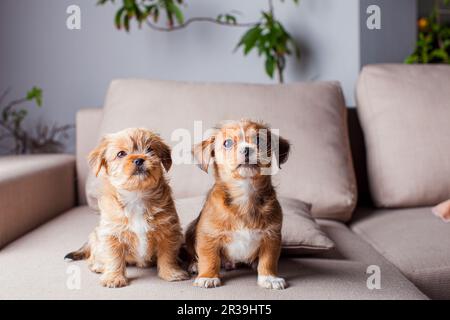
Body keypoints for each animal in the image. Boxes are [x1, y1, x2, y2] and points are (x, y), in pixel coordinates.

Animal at [65, 127, 188, 288]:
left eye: (150, 150)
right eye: (121, 154)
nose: (139, 159)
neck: (136, 196)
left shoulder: (168, 231)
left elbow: (168, 255)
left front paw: (171, 272)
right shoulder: (112, 234)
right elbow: (114, 258)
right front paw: (113, 278)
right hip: (98, 238)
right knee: (94, 256)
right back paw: (98, 265)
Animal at [186, 120, 292, 290]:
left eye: (259, 140)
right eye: (228, 143)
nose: (247, 149)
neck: (244, 193)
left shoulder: (272, 237)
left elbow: (268, 260)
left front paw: (269, 278)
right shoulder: (208, 236)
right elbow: (209, 258)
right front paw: (208, 276)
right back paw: (195, 265)